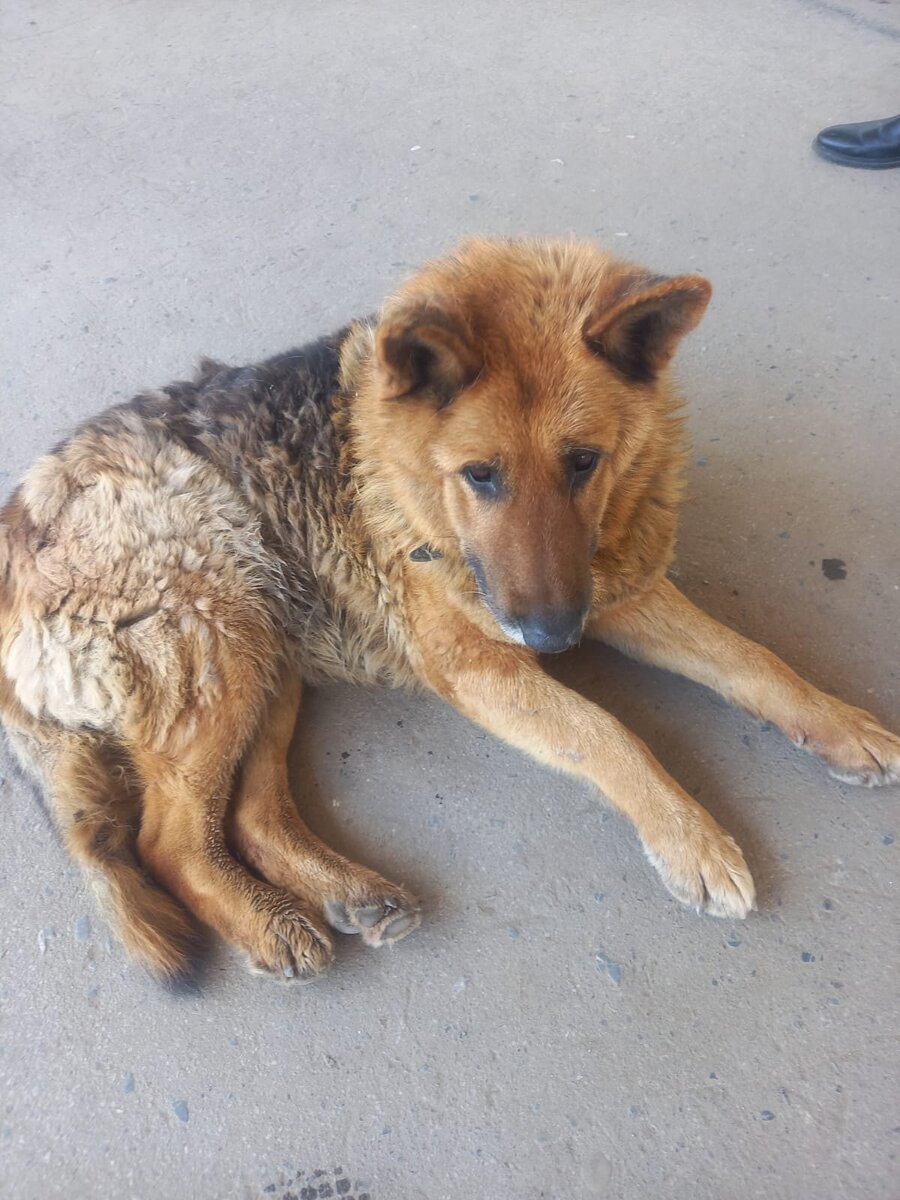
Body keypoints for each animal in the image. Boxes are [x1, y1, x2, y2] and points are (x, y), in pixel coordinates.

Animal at [3, 236, 897, 984]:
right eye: (480, 475)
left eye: (584, 463)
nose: (555, 638)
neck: (401, 476)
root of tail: (14, 537)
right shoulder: (484, 664)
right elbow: (605, 730)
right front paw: (690, 836)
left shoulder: (616, 589)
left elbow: (751, 657)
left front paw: (838, 721)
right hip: (221, 629)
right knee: (170, 840)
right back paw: (267, 924)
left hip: (265, 645)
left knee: (249, 815)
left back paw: (343, 891)